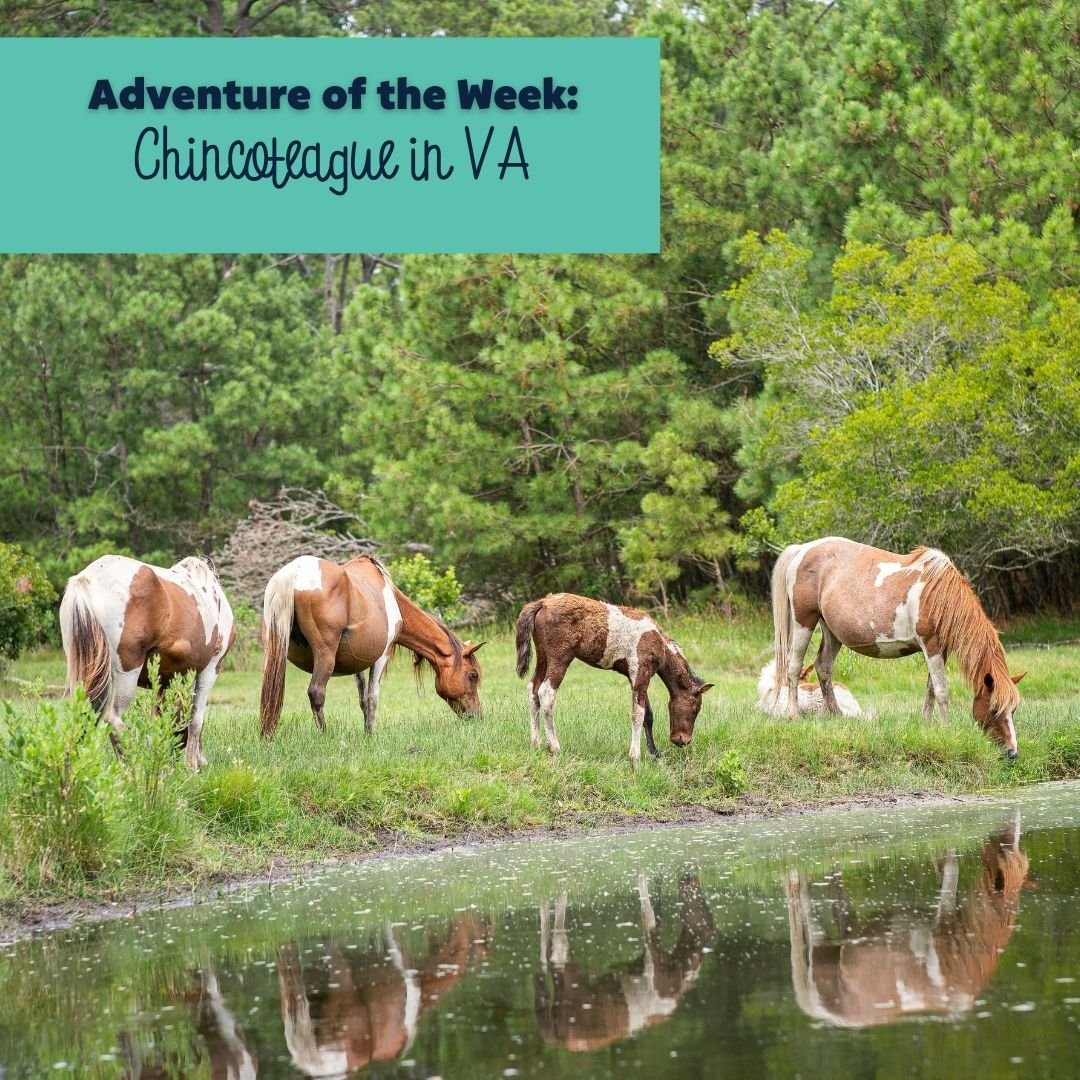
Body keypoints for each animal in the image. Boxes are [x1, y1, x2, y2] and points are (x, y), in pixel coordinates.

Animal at [59, 553, 235, 770]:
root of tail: (87, 580)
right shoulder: (210, 669)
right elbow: (196, 719)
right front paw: (193, 764)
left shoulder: (166, 679)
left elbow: (162, 717)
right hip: (127, 673)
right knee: (114, 719)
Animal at [259, 554, 484, 739]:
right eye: (472, 675)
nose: (477, 716)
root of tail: (293, 573)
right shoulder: (382, 656)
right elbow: (372, 696)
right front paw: (371, 733)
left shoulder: (356, 662)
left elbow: (363, 699)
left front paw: (366, 731)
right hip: (325, 656)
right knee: (316, 692)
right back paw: (325, 736)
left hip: (273, 652)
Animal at [515, 593, 713, 763]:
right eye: (696, 708)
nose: (683, 741)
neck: (659, 644)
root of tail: (543, 602)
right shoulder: (641, 674)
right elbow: (638, 714)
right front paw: (635, 756)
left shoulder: (636, 677)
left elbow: (648, 715)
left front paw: (654, 753)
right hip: (560, 659)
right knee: (546, 693)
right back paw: (554, 747)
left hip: (543, 657)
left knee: (533, 690)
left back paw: (536, 743)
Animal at [770, 537, 1024, 756]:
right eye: (994, 709)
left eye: (1013, 710)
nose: (1012, 753)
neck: (939, 596)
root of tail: (802, 549)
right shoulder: (931, 645)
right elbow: (942, 690)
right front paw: (947, 729)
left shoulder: (939, 650)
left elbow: (931, 689)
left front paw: (926, 725)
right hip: (804, 622)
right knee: (794, 668)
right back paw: (793, 716)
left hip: (832, 632)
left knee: (823, 667)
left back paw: (836, 715)